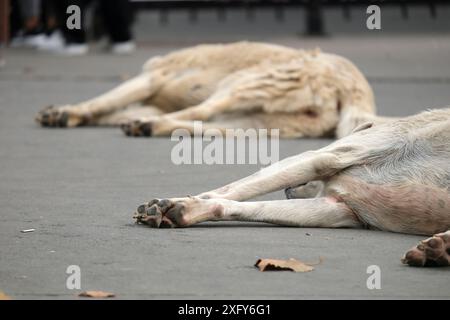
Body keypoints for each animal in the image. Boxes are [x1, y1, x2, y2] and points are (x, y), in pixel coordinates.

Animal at [37, 41, 386, 138]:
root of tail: (355, 88)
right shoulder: (149, 96)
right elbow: (107, 109)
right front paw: (66, 116)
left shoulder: (151, 78)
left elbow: (99, 102)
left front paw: (66, 113)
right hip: (259, 121)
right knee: (208, 126)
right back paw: (146, 126)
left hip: (239, 84)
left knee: (200, 111)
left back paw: (147, 125)